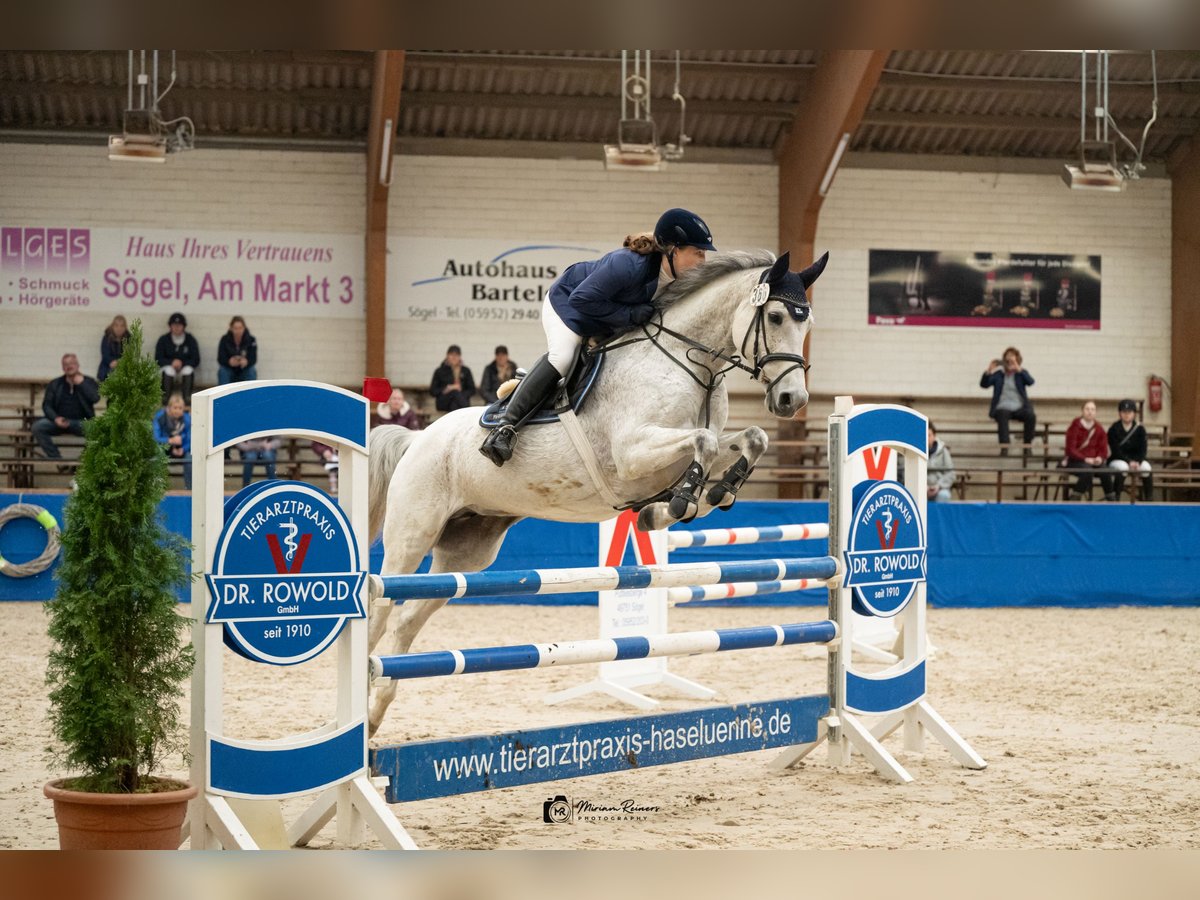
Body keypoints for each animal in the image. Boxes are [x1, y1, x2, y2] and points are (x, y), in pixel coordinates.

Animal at [362, 250, 825, 734]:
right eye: (775, 317)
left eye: (807, 323)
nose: (792, 400)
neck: (689, 364)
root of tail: (418, 438)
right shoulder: (633, 453)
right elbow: (705, 443)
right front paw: (675, 505)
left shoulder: (680, 452)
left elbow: (751, 438)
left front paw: (704, 498)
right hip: (412, 535)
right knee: (381, 610)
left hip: (466, 553)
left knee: (406, 622)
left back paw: (375, 714)